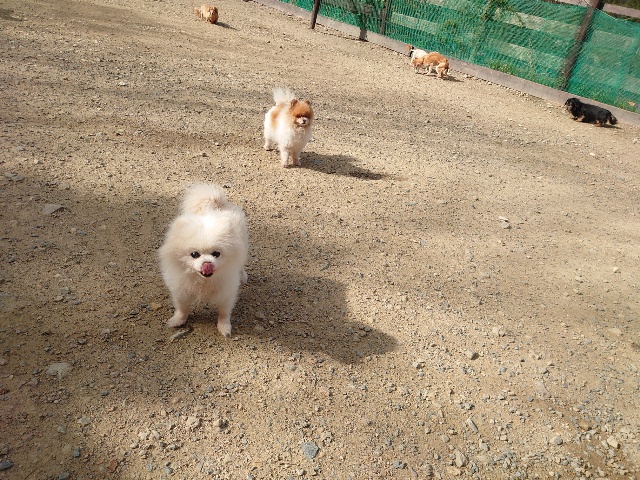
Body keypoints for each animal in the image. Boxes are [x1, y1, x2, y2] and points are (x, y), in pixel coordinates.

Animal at [159, 183, 249, 336]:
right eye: (194, 254)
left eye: (216, 253)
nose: (207, 263)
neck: (203, 281)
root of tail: (215, 204)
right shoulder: (181, 291)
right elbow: (182, 309)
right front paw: (177, 321)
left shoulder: (226, 293)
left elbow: (224, 313)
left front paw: (224, 328)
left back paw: (242, 275)